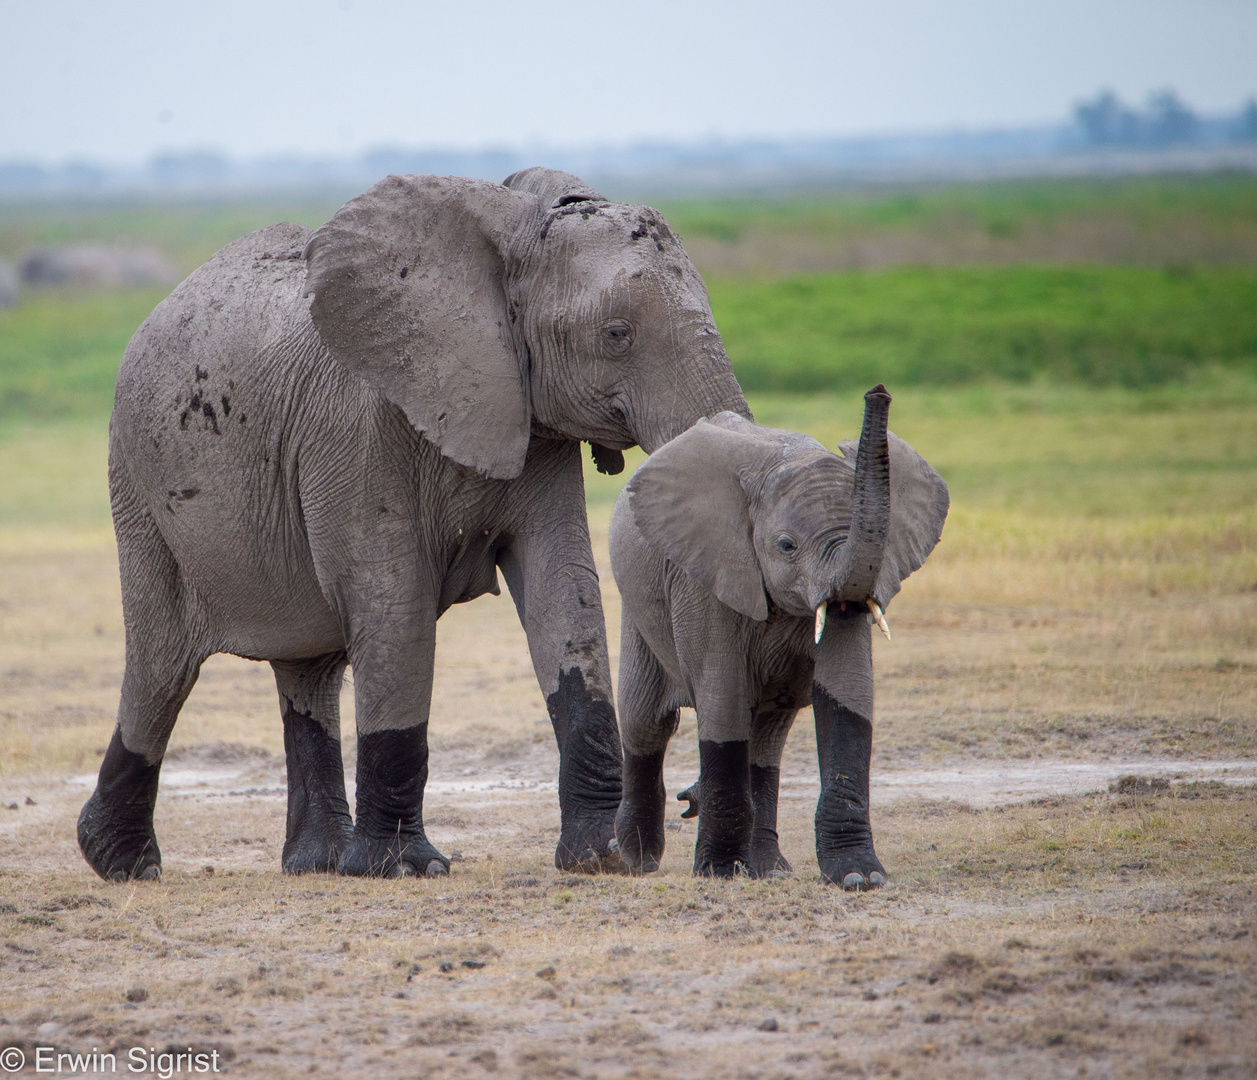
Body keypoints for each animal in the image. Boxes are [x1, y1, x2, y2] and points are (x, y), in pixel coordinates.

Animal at [83, 167, 749, 880]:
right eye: (617, 334)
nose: (690, 803)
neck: (506, 229)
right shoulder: (358, 429)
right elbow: (393, 604)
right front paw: (405, 868)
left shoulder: (529, 419)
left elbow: (563, 589)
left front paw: (604, 857)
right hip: (138, 484)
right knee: (163, 667)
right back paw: (123, 863)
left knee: (308, 670)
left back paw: (317, 863)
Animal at [613, 389, 945, 885]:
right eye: (786, 546)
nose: (878, 393)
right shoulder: (709, 577)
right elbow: (724, 700)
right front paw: (719, 874)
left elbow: (847, 698)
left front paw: (858, 877)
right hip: (636, 607)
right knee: (645, 721)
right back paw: (636, 861)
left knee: (767, 737)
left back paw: (769, 870)